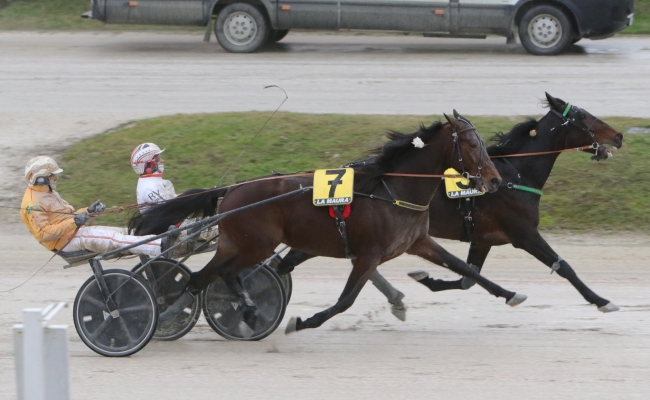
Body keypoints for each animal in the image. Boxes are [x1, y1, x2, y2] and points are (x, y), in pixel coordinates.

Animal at [133, 111, 528, 334]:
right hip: (255, 244)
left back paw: (179, 313)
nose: (494, 180)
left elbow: (467, 269)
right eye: (473, 145)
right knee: (226, 275)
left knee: (201, 278)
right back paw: (243, 310)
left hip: (234, 243)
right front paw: (302, 322)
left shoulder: (418, 242)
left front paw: (511, 294)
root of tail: (233, 188)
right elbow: (344, 301)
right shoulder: (369, 255)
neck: (392, 188)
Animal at [278, 92, 624, 314]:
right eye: (582, 116)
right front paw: (602, 300)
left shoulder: (484, 238)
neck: (513, 174)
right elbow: (564, 267)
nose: (618, 136)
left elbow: (467, 277)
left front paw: (426, 279)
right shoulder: (523, 233)